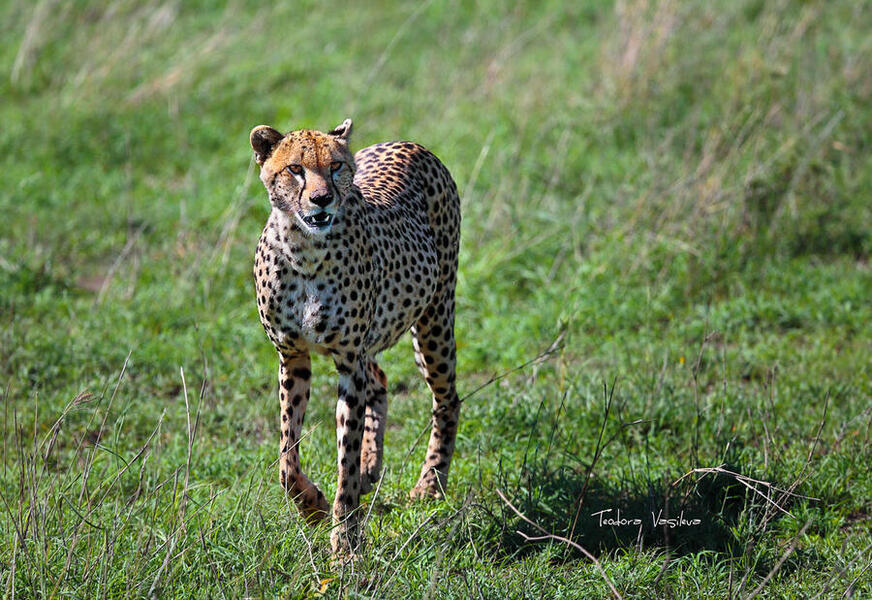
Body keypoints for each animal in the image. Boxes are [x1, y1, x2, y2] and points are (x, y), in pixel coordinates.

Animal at [247, 119, 460, 556]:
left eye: (335, 167)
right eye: (295, 169)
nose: (322, 199)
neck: (304, 251)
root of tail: (408, 144)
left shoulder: (347, 361)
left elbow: (343, 455)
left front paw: (344, 545)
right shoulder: (292, 356)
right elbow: (286, 457)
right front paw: (312, 505)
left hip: (433, 321)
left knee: (447, 399)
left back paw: (429, 485)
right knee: (379, 379)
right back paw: (370, 469)